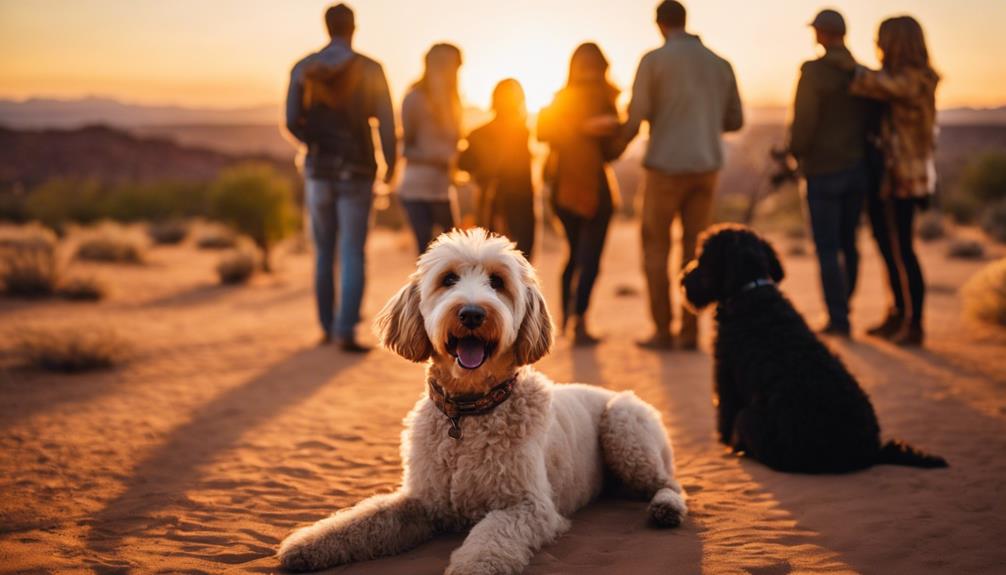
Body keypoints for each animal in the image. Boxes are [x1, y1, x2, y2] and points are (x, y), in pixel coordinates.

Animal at [680, 223, 945, 472]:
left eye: (703, 258)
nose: (682, 280)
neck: (751, 293)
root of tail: (871, 452)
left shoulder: (725, 377)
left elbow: (724, 415)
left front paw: (726, 444)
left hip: (749, 420)